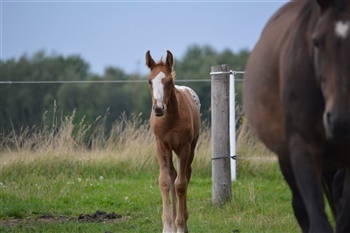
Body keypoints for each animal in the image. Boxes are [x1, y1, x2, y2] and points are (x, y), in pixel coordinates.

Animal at [144, 50, 200, 232]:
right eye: (150, 81)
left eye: (169, 82)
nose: (158, 108)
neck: (171, 119)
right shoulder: (161, 146)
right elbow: (165, 182)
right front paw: (168, 226)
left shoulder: (184, 147)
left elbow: (181, 185)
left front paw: (181, 226)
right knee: (173, 176)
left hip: (191, 148)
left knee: (185, 176)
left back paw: (182, 221)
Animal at [243, 0, 350, 233]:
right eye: (317, 42)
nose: (342, 120)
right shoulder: (304, 148)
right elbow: (318, 222)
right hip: (286, 159)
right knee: (300, 207)